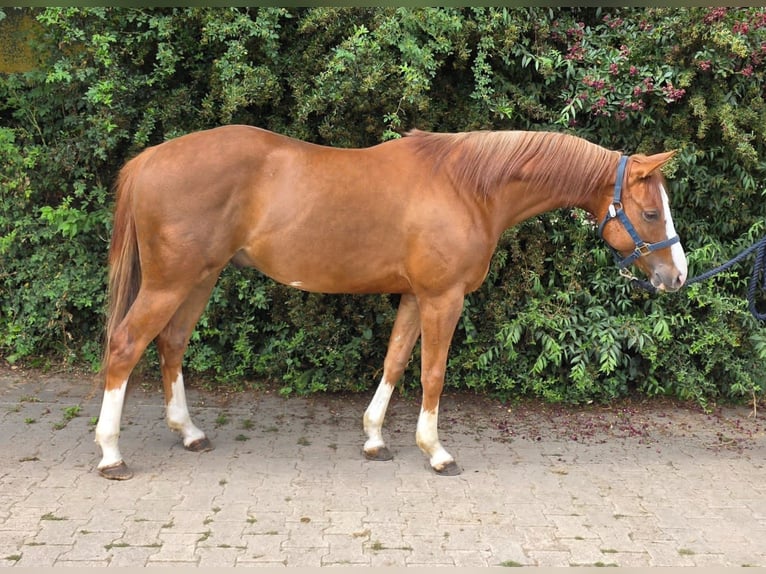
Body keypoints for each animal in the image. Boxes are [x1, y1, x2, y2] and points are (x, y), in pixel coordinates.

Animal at [95, 125, 688, 480]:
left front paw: (376, 438)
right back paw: (111, 453)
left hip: (199, 279)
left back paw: (189, 432)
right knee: (125, 345)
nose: (677, 276)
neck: (470, 188)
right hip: (170, 282)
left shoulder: (414, 296)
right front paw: (436, 451)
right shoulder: (443, 299)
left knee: (171, 344)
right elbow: (432, 374)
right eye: (651, 212)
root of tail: (150, 158)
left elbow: (395, 362)